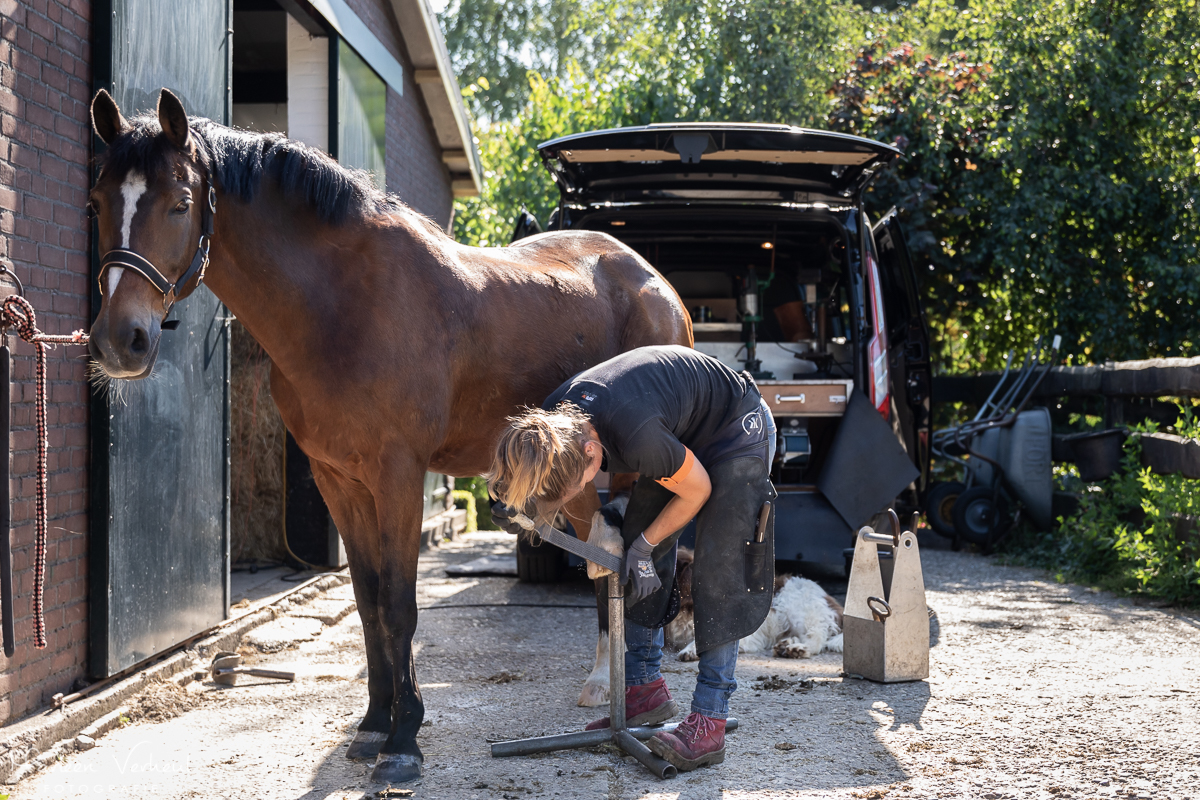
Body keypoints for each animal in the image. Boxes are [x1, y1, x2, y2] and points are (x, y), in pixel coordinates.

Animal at [86, 88, 691, 784]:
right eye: (97, 202)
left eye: (181, 203)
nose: (120, 341)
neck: (341, 304)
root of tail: (656, 282)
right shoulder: (339, 480)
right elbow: (369, 601)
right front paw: (375, 724)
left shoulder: (398, 473)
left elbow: (401, 604)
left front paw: (404, 743)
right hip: (579, 469)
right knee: (605, 551)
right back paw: (600, 683)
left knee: (653, 551)